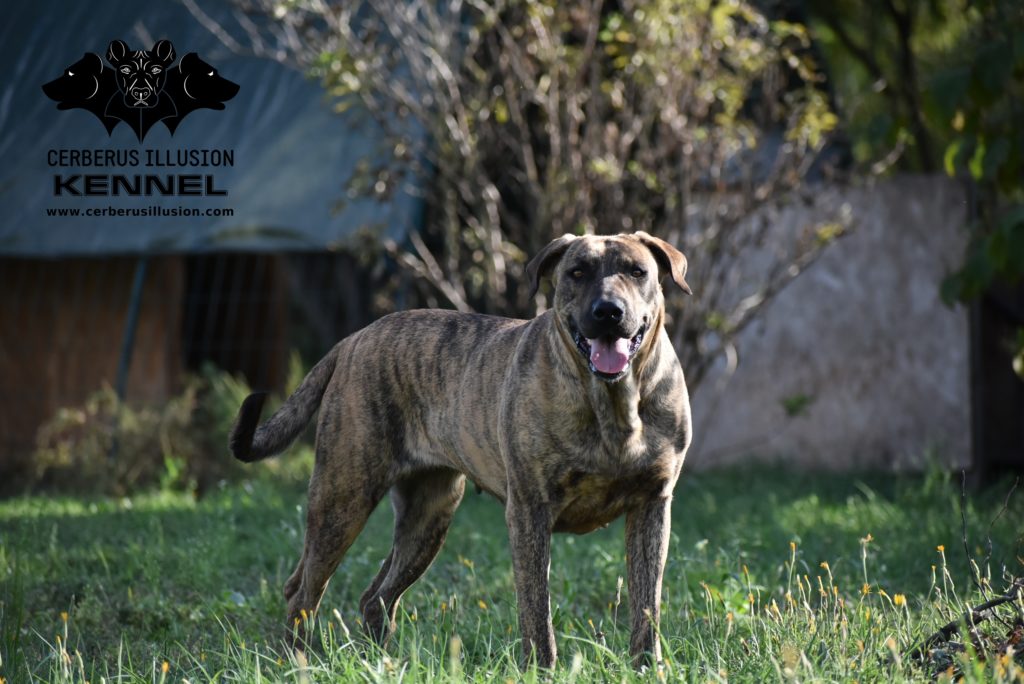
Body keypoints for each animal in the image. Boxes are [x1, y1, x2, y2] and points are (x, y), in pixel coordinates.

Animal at [231, 231, 692, 667]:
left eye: (637, 272)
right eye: (578, 272)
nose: (608, 311)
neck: (614, 403)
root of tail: (354, 338)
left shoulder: (652, 506)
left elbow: (646, 606)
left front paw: (648, 667)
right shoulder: (530, 511)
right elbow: (536, 610)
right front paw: (541, 669)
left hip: (428, 515)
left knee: (375, 596)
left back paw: (382, 662)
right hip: (342, 499)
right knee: (303, 591)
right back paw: (298, 661)